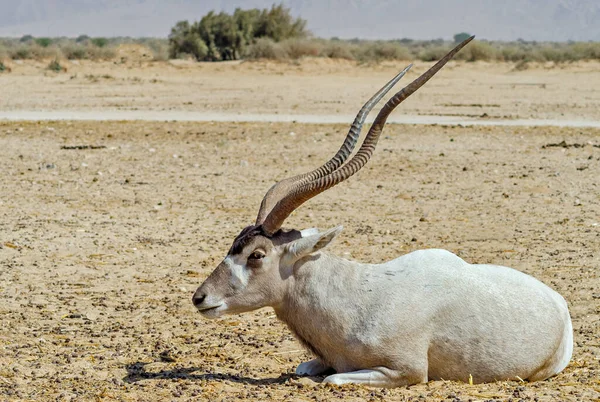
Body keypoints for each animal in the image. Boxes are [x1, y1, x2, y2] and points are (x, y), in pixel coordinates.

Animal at [191, 37, 572, 386]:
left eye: (257, 254)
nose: (200, 297)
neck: (354, 295)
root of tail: (559, 304)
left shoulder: (407, 370)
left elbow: (333, 379)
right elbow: (306, 368)